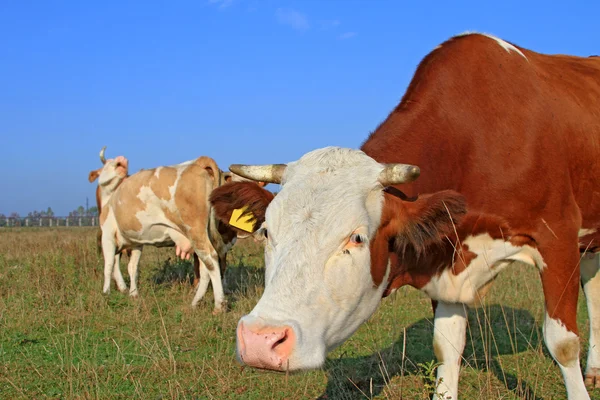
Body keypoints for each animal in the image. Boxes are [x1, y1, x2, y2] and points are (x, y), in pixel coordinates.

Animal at [91, 147, 237, 312]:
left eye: (112, 165)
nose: (121, 163)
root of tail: (197, 163)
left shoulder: (107, 235)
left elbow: (108, 265)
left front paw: (105, 293)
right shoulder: (137, 243)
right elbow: (133, 267)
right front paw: (133, 294)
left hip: (195, 230)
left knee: (211, 260)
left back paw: (219, 305)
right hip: (204, 233)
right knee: (205, 265)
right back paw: (195, 302)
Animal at [209, 32, 600, 398]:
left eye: (357, 237)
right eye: (266, 233)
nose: (260, 340)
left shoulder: (558, 238)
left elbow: (563, 344)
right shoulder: (444, 257)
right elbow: (447, 346)